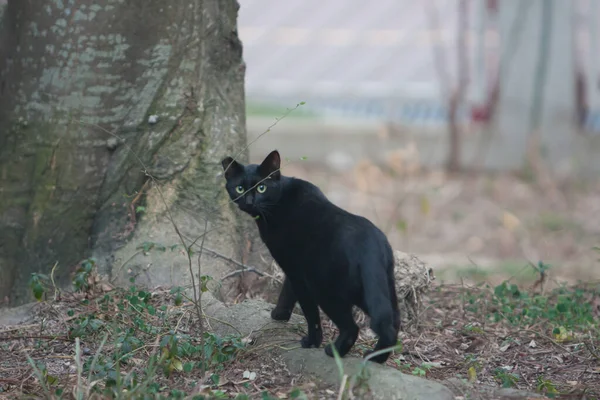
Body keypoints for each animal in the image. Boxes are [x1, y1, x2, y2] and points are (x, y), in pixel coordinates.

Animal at [219, 150, 398, 362]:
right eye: (239, 188)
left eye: (262, 188)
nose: (249, 201)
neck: (278, 202)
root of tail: (370, 246)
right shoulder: (293, 267)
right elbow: (287, 291)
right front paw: (279, 314)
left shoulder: (297, 272)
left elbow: (310, 313)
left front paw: (311, 341)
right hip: (375, 288)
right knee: (391, 325)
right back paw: (376, 358)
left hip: (326, 288)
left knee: (352, 327)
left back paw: (335, 350)